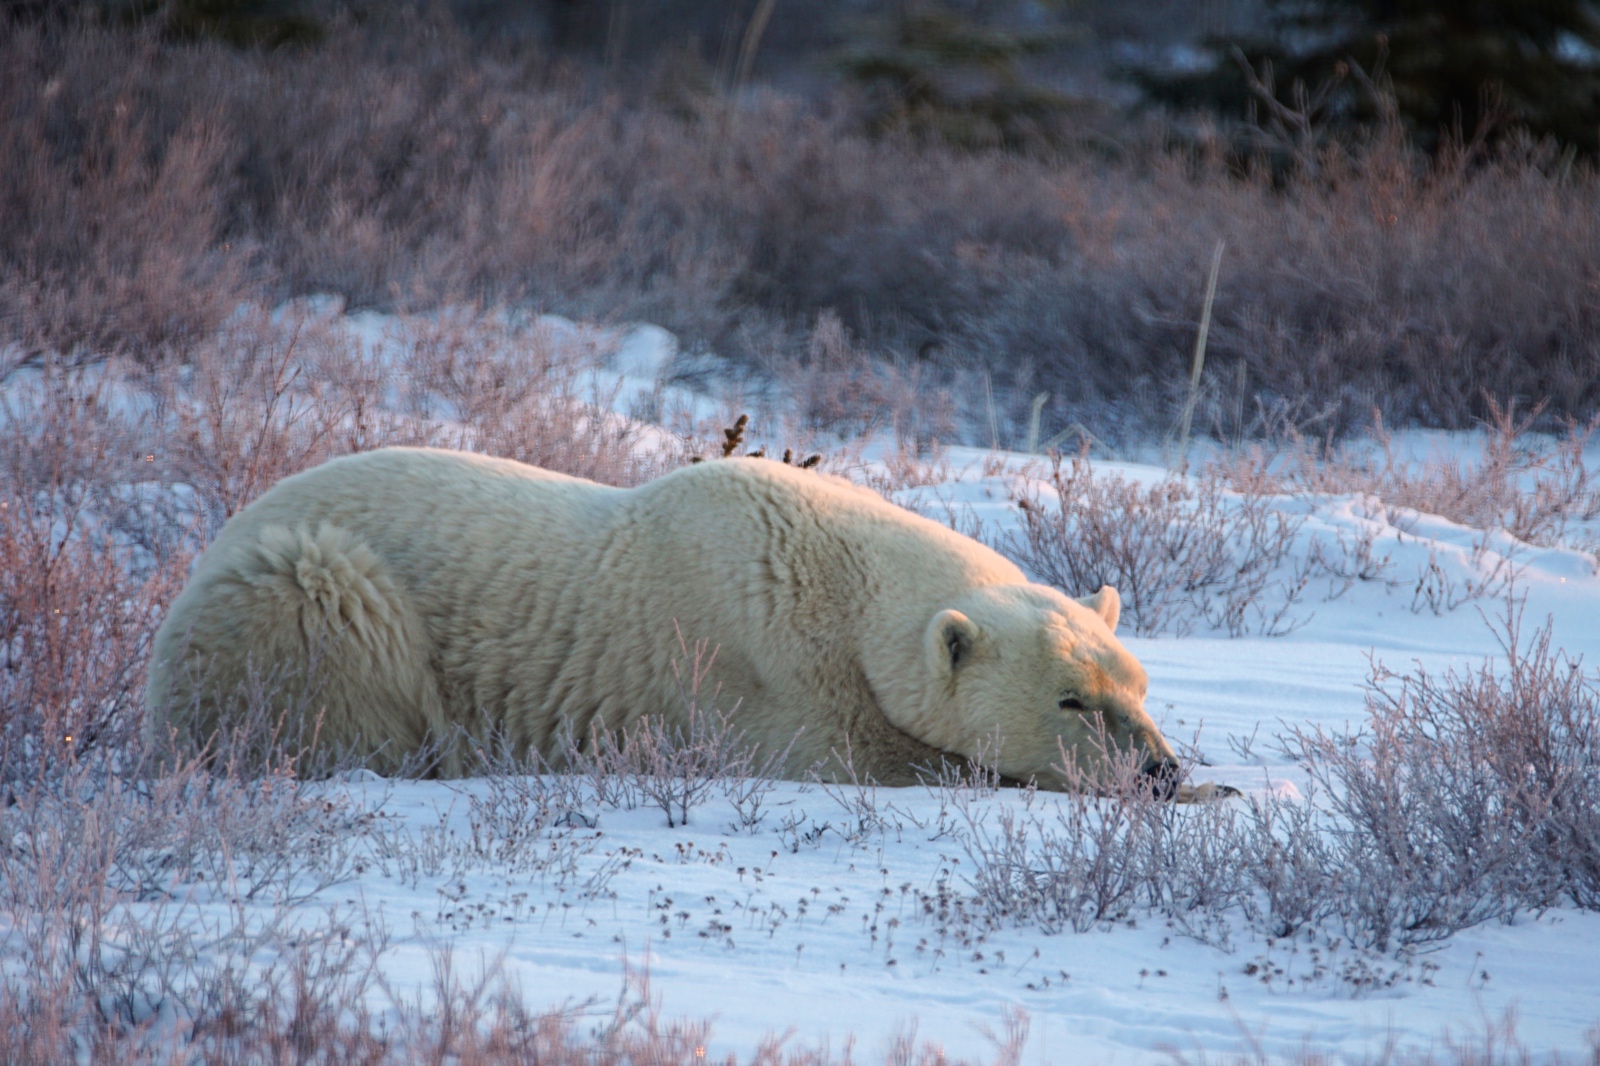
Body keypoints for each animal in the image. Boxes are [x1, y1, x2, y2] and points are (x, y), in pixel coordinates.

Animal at [145, 447, 1180, 792]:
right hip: (307, 585)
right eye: (1070, 700)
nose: (1160, 769)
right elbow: (869, 758)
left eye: (1136, 683)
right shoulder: (759, 668)